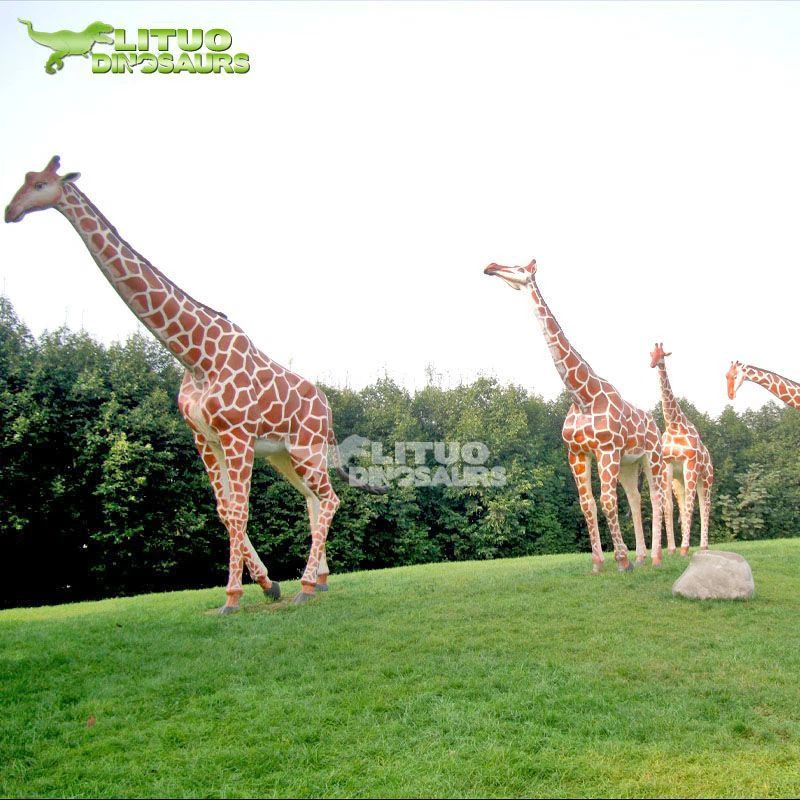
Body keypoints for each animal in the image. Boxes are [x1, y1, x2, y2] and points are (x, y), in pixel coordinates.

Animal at [5, 156, 386, 613]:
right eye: (24, 180)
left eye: (39, 185)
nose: (11, 211)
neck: (194, 354)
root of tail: (327, 406)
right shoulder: (203, 436)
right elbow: (224, 511)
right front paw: (266, 584)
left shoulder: (236, 435)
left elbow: (239, 511)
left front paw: (234, 596)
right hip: (285, 455)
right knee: (313, 500)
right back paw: (319, 580)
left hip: (304, 448)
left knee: (329, 499)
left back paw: (307, 585)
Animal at [484, 259, 664, 571]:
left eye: (519, 268)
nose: (490, 266)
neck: (582, 397)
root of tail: (654, 422)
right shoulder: (577, 453)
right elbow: (587, 503)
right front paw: (599, 563)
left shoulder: (606, 450)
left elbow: (606, 501)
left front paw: (622, 561)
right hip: (628, 464)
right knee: (634, 498)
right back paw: (641, 557)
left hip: (650, 456)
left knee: (655, 498)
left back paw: (654, 558)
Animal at [650, 343, 713, 556]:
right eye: (651, 354)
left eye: (663, 354)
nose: (653, 363)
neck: (674, 425)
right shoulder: (668, 465)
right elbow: (669, 507)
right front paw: (671, 549)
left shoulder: (690, 462)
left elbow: (691, 508)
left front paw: (685, 547)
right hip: (680, 483)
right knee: (684, 505)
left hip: (706, 478)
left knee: (704, 505)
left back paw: (702, 545)